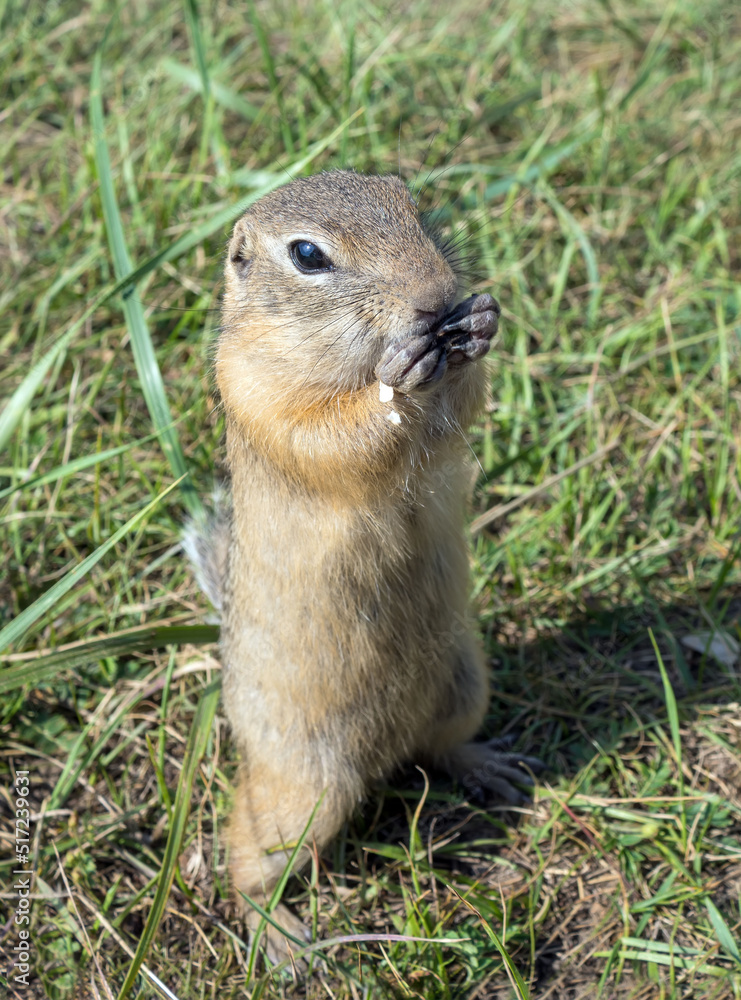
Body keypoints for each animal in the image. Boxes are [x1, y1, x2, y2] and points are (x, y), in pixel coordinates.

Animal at [186, 168, 536, 964]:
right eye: (308, 255)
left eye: (408, 202)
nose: (436, 295)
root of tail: (382, 753)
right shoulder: (253, 387)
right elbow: (328, 435)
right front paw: (399, 377)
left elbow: (464, 405)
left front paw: (480, 324)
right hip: (305, 790)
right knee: (244, 849)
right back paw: (278, 936)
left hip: (463, 686)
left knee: (437, 748)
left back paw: (489, 767)